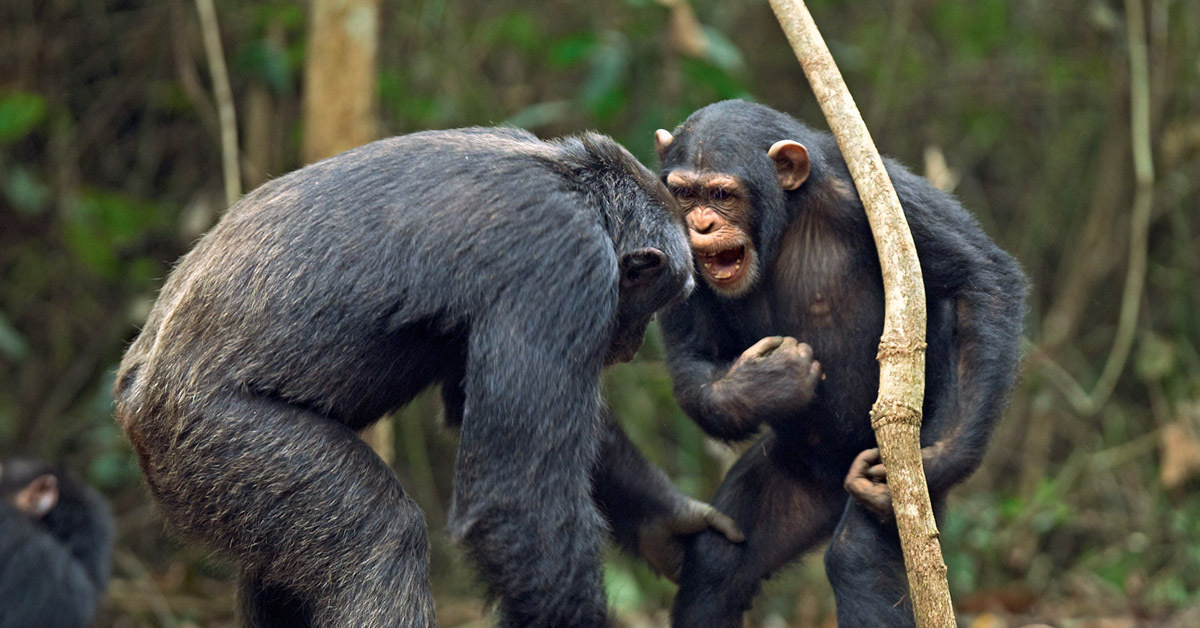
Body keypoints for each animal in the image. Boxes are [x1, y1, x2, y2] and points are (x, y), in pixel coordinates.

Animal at [114, 127, 748, 628]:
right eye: (662, 299)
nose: (633, 343)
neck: (583, 195)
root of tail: (130, 401)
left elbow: (477, 405)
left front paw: (668, 520)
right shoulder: (565, 267)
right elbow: (518, 503)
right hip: (219, 440)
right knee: (374, 537)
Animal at [652, 100, 1027, 624]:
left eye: (722, 194)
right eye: (685, 193)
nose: (700, 224)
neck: (785, 221)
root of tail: (831, 486)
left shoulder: (880, 195)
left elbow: (980, 279)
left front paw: (942, 457)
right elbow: (694, 362)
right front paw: (768, 381)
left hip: (890, 476)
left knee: (858, 556)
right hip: (792, 478)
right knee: (715, 564)